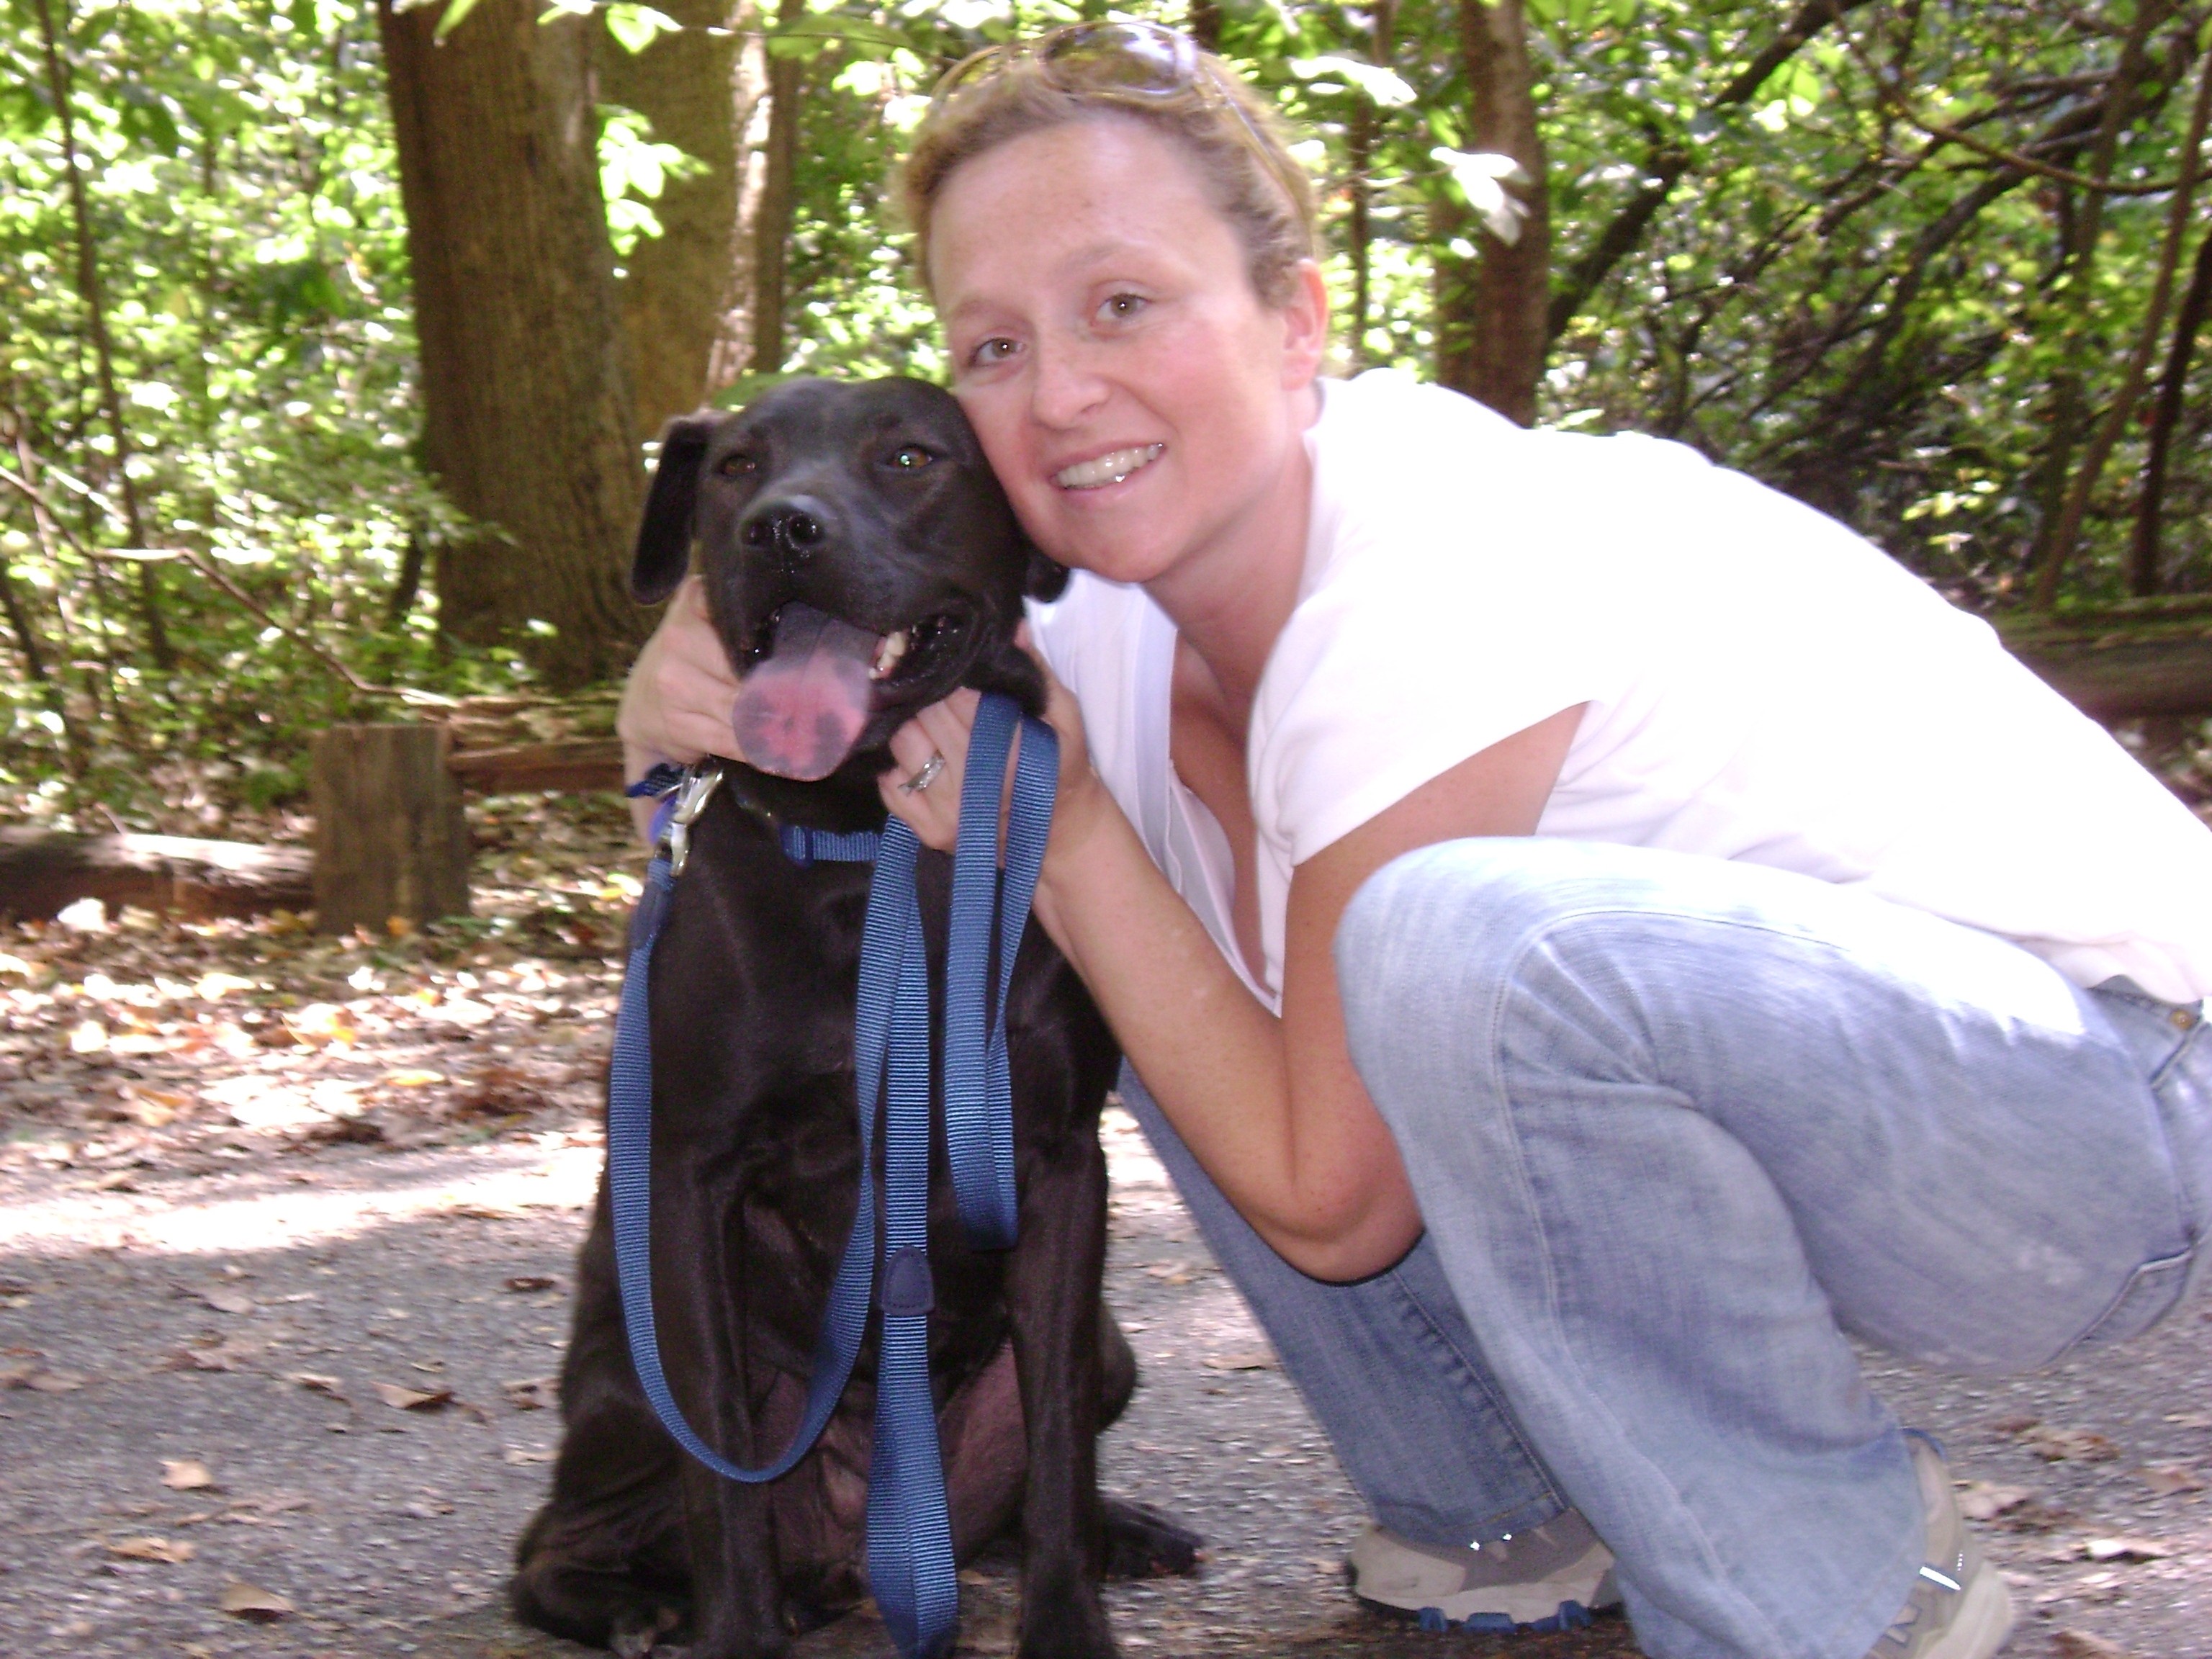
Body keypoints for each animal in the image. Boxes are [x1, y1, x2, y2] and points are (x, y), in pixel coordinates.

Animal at [511, 378, 1198, 1659]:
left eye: (912, 456)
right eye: (736, 465)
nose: (780, 528)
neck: (865, 838)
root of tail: (852, 1553)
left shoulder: (1057, 1161)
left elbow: (1058, 1454)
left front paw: (1069, 1620)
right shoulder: (691, 1178)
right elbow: (721, 1475)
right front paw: (737, 1638)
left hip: (1113, 1345)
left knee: (1027, 1487)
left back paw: (1117, 1531)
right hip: (626, 1376)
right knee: (554, 1539)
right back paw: (626, 1604)